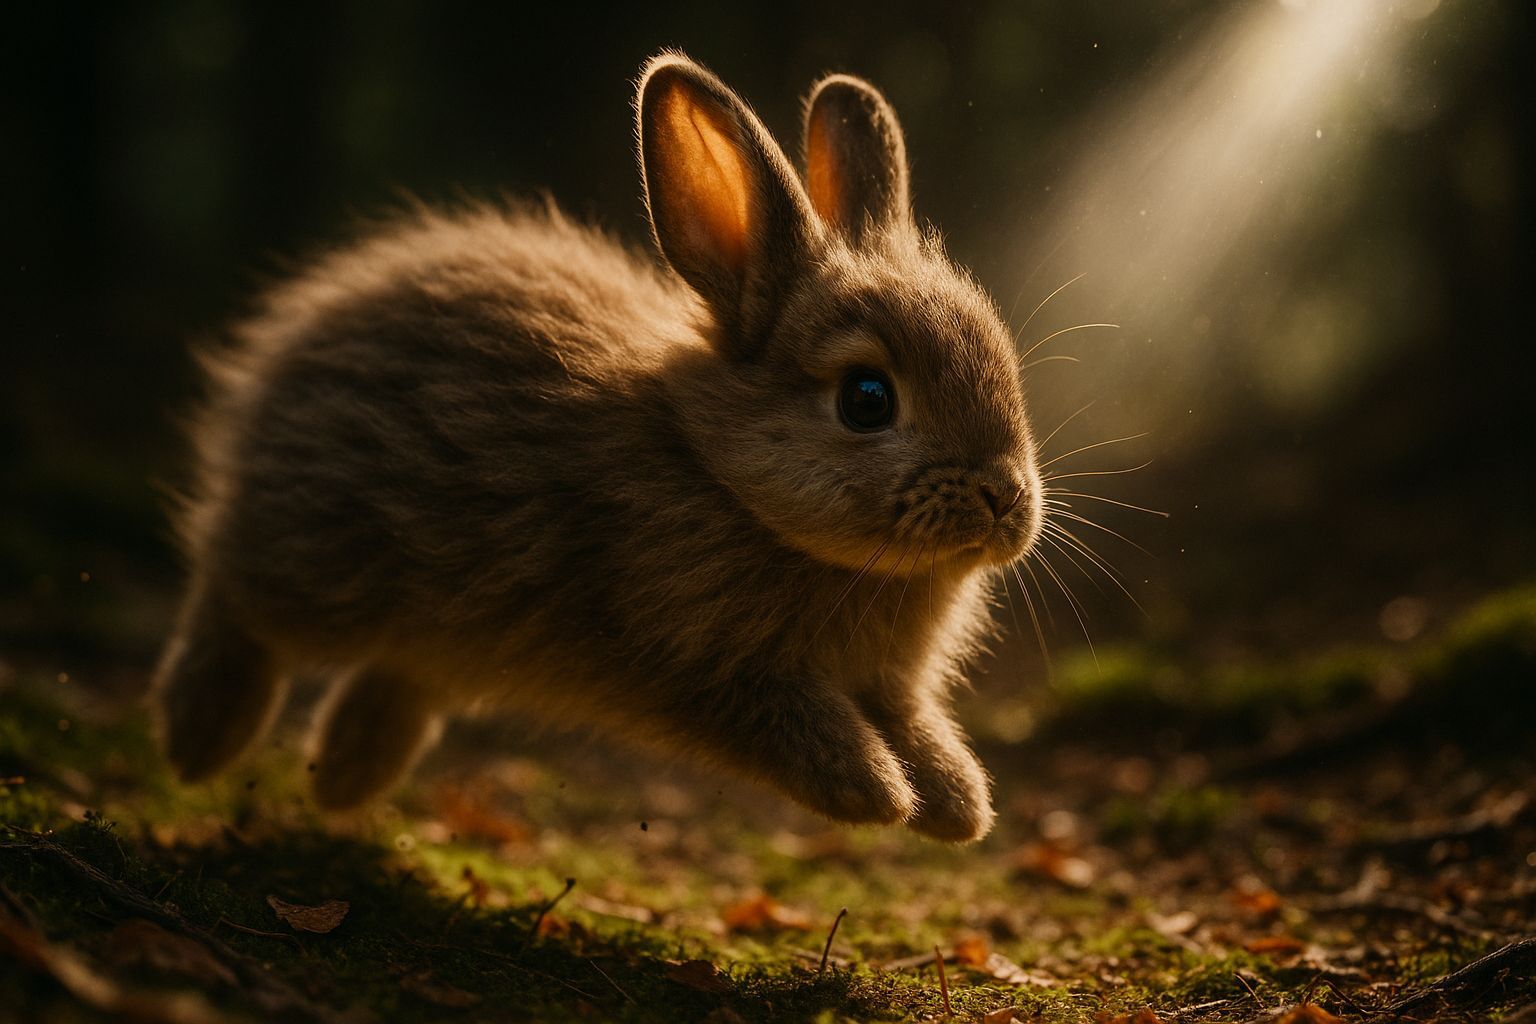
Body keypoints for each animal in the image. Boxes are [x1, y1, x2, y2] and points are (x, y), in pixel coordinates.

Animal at [154, 51, 1044, 843]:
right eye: (867, 400)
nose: (1005, 499)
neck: (717, 471)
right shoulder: (707, 662)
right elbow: (803, 726)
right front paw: (880, 796)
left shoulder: (889, 690)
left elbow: (920, 730)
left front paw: (959, 808)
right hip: (317, 563)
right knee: (232, 594)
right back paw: (198, 741)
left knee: (391, 674)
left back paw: (345, 778)